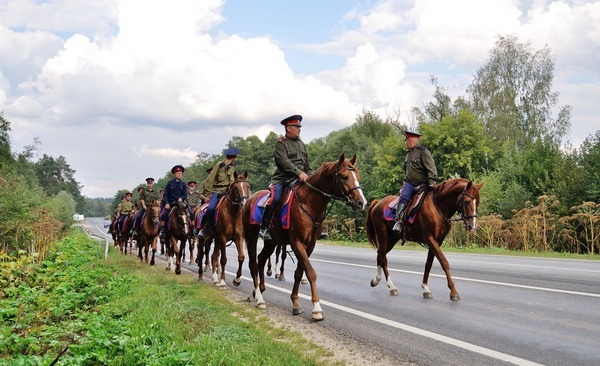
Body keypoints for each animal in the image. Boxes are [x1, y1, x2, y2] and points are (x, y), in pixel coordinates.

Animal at [243, 154, 366, 320]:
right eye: (344, 176)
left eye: (357, 176)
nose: (361, 202)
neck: (308, 202)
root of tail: (249, 199)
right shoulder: (297, 243)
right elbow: (311, 273)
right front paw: (316, 308)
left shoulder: (310, 245)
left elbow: (299, 272)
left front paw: (295, 303)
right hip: (251, 237)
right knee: (254, 264)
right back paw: (260, 299)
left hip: (271, 242)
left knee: (261, 259)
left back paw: (259, 290)